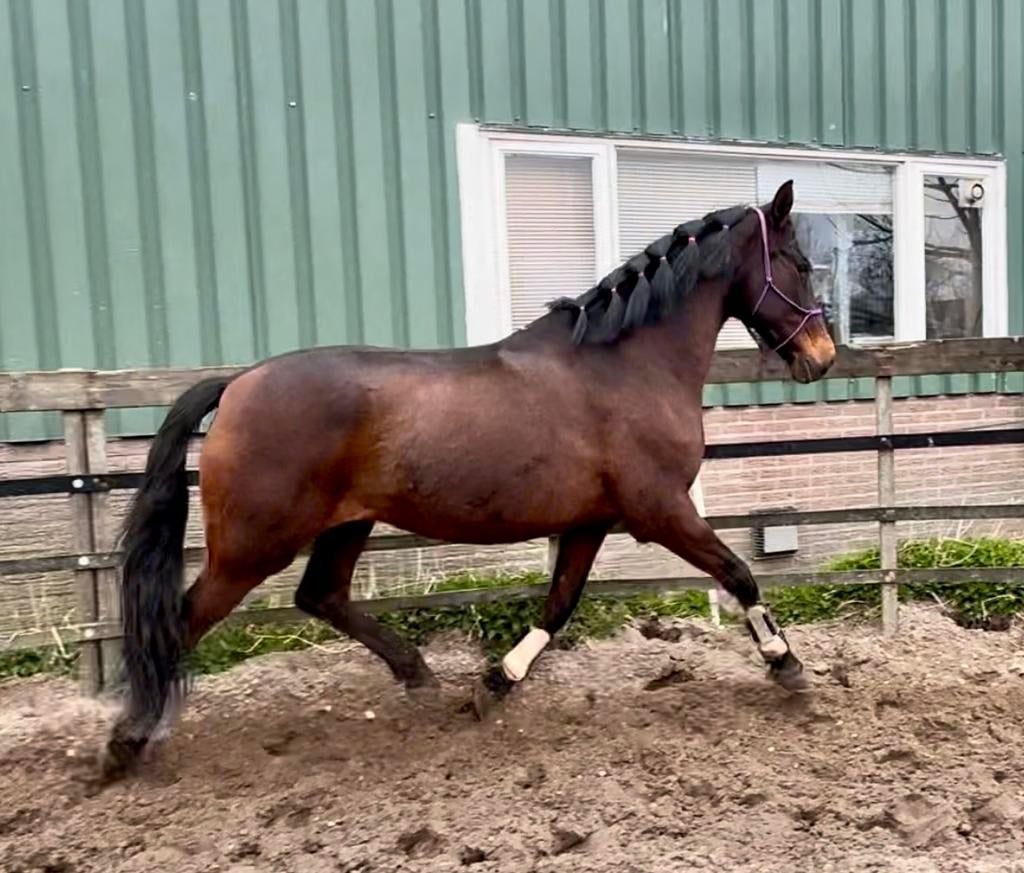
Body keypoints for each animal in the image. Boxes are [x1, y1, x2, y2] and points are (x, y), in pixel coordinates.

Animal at [103, 180, 835, 781]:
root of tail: (237, 384)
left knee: (321, 595)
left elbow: (558, 605)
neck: (627, 366)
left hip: (347, 523)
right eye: (801, 265)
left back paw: (418, 674)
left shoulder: (591, 521)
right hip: (253, 546)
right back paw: (128, 742)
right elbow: (739, 572)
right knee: (182, 622)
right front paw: (786, 663)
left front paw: (494, 683)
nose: (823, 355)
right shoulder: (660, 511)